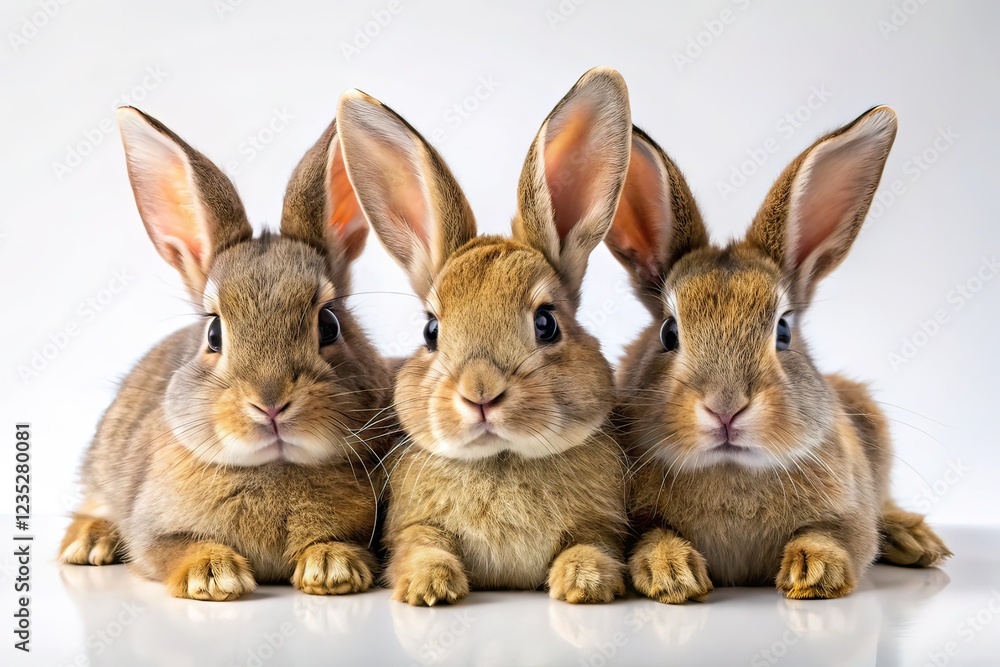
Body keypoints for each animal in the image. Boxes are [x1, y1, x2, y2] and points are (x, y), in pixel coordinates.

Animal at [57, 106, 394, 601]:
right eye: (214, 333)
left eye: (329, 324)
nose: (270, 404)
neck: (275, 468)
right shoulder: (154, 534)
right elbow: (175, 549)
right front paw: (213, 576)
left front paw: (333, 567)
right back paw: (87, 543)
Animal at [335, 67, 634, 606]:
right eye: (431, 330)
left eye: (546, 323)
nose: (480, 393)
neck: (501, 458)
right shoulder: (413, 526)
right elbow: (423, 544)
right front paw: (428, 586)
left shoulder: (602, 526)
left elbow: (591, 544)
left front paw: (584, 582)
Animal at [604, 106, 951, 603]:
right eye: (669, 333)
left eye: (783, 330)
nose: (726, 408)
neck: (731, 469)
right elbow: (652, 536)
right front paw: (671, 572)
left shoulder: (850, 514)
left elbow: (836, 535)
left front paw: (815, 573)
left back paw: (915, 539)